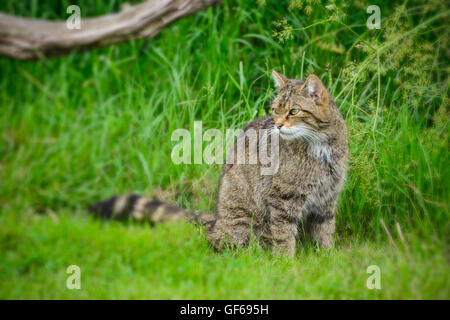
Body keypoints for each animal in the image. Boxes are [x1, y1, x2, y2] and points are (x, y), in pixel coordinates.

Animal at [88, 71, 348, 256]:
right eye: (275, 110)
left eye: (294, 111)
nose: (278, 125)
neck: (321, 147)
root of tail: (217, 220)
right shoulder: (283, 197)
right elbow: (284, 234)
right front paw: (286, 262)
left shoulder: (328, 197)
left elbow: (325, 231)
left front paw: (327, 257)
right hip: (244, 227)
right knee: (219, 242)